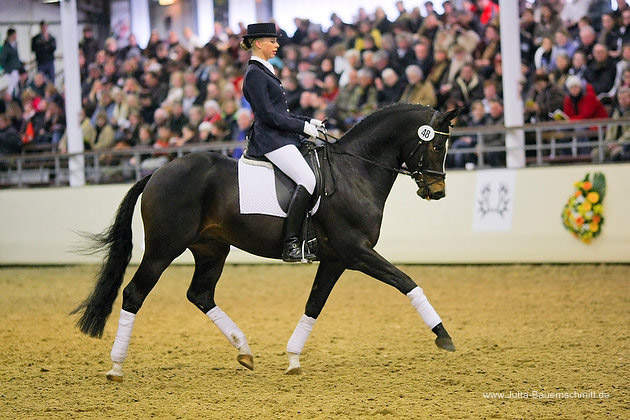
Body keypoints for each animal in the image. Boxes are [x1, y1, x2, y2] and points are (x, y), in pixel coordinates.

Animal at [74, 102, 462, 380]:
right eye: (436, 144)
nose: (438, 191)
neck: (356, 172)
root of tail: (157, 172)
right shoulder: (357, 251)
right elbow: (406, 281)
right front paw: (443, 335)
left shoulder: (335, 259)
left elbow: (314, 305)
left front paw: (292, 359)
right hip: (163, 249)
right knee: (134, 294)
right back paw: (116, 367)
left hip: (212, 249)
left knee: (200, 294)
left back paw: (244, 350)